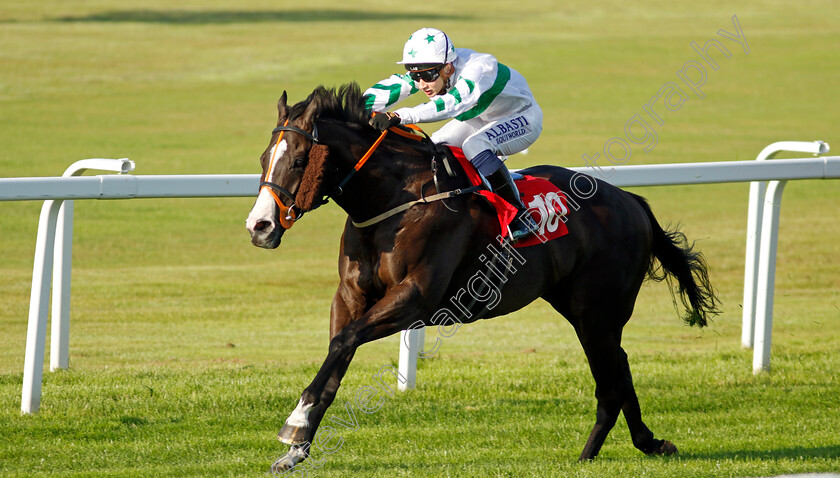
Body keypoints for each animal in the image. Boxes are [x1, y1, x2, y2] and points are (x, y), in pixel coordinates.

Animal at [246, 83, 720, 470]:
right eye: (263, 158)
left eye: (300, 160)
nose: (260, 227)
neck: (395, 201)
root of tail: (630, 201)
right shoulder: (349, 296)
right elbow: (336, 356)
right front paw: (297, 448)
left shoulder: (414, 298)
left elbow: (343, 343)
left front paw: (293, 425)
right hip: (581, 306)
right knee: (618, 366)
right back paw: (647, 442)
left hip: (597, 310)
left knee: (610, 378)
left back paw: (590, 453)